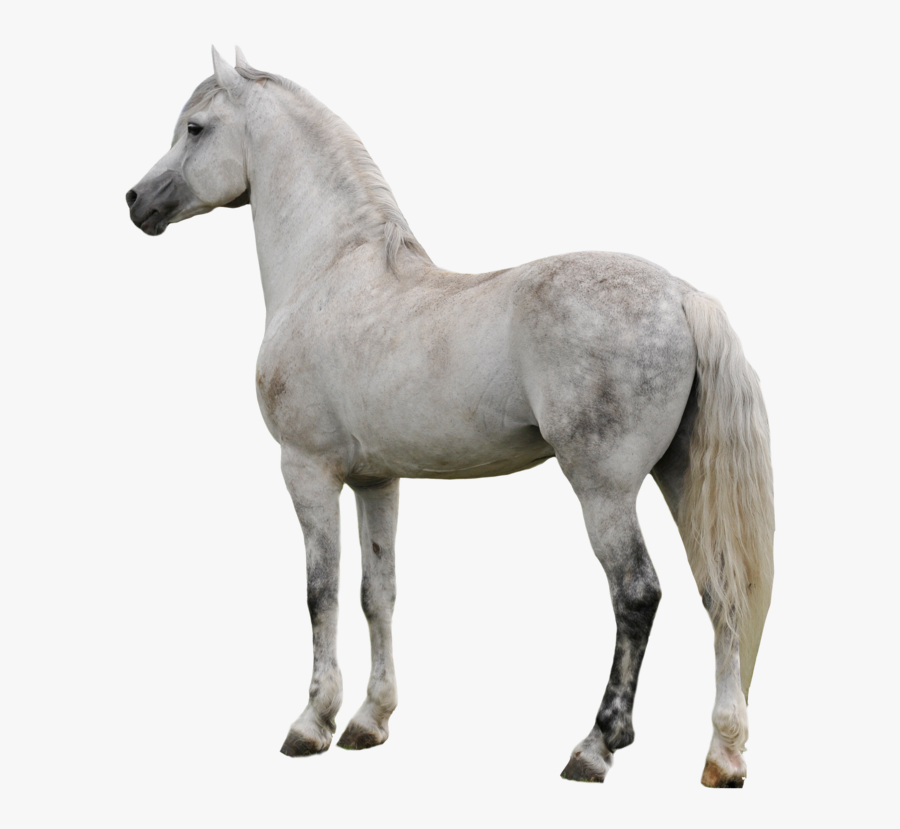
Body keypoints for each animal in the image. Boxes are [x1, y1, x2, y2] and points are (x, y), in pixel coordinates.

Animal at [126, 47, 774, 787]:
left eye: (195, 128)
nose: (136, 201)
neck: (330, 274)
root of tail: (683, 297)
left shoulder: (307, 469)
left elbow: (320, 591)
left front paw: (311, 722)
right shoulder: (376, 479)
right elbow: (377, 591)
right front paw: (369, 721)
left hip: (604, 488)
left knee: (638, 593)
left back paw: (596, 744)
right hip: (680, 477)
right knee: (721, 592)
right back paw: (723, 755)